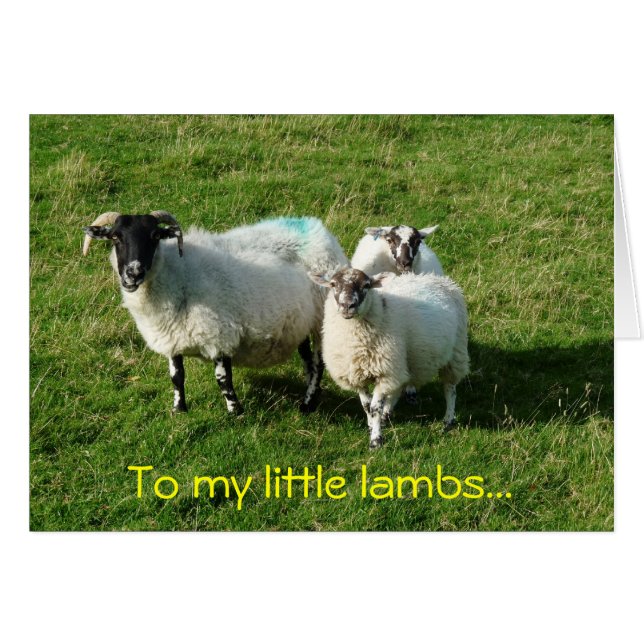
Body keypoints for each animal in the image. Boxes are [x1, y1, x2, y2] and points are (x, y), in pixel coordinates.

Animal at [82, 211, 348, 415]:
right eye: (115, 237)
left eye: (155, 236)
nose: (133, 273)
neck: (178, 274)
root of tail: (316, 228)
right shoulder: (172, 337)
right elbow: (177, 376)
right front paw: (179, 410)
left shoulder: (219, 334)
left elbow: (223, 379)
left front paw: (235, 412)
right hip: (300, 322)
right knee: (309, 363)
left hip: (322, 319)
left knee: (318, 364)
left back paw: (307, 405)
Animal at [310, 267, 469, 449]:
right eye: (333, 284)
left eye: (366, 285)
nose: (347, 305)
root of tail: (440, 279)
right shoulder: (356, 373)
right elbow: (366, 405)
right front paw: (371, 426)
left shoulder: (385, 372)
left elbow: (375, 408)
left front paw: (376, 441)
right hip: (406, 361)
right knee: (399, 388)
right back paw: (387, 415)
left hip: (456, 352)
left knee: (450, 389)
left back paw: (448, 421)